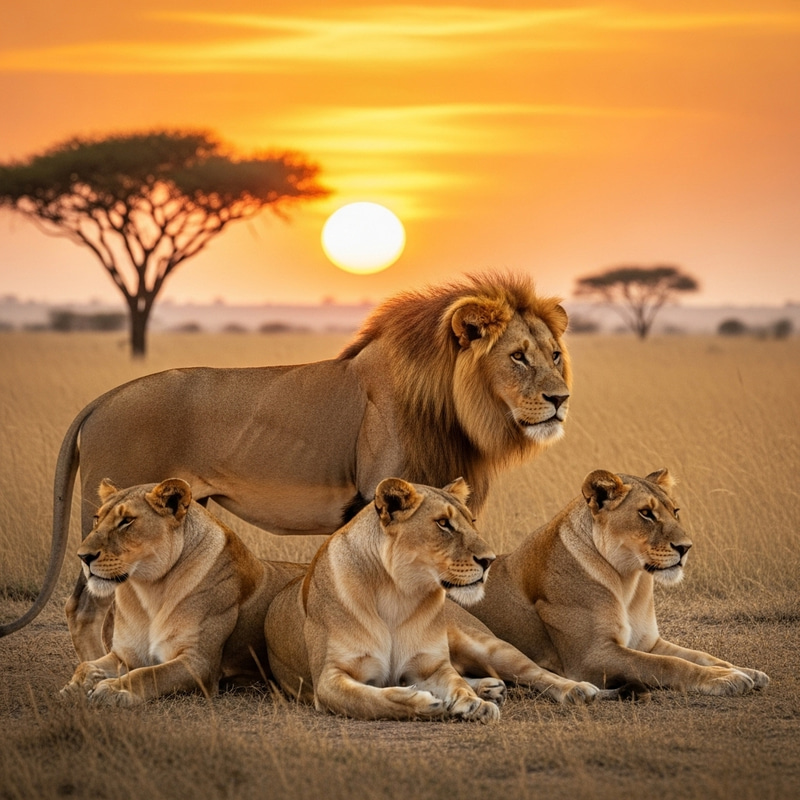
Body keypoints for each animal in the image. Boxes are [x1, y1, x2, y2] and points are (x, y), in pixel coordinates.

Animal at [0, 272, 571, 661]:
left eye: (555, 355)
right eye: (518, 356)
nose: (560, 399)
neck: (451, 409)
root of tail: (102, 398)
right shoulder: (379, 498)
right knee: (86, 606)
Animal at [61, 478, 305, 707]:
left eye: (127, 521)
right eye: (96, 518)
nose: (83, 556)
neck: (148, 590)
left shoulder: (199, 663)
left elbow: (149, 673)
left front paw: (113, 689)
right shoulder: (125, 655)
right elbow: (85, 665)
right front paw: (75, 687)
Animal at [265, 477, 602, 722]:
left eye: (471, 520)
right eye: (443, 524)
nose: (490, 560)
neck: (397, 593)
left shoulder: (431, 666)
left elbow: (455, 682)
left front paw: (472, 704)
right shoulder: (328, 680)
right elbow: (371, 699)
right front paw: (423, 701)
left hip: (488, 646)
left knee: (534, 672)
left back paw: (576, 690)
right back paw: (489, 688)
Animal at [466, 469, 770, 696]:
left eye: (675, 511)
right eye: (646, 513)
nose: (686, 547)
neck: (629, 582)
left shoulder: (648, 642)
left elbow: (699, 655)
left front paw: (744, 671)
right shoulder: (592, 656)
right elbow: (668, 665)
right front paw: (724, 679)